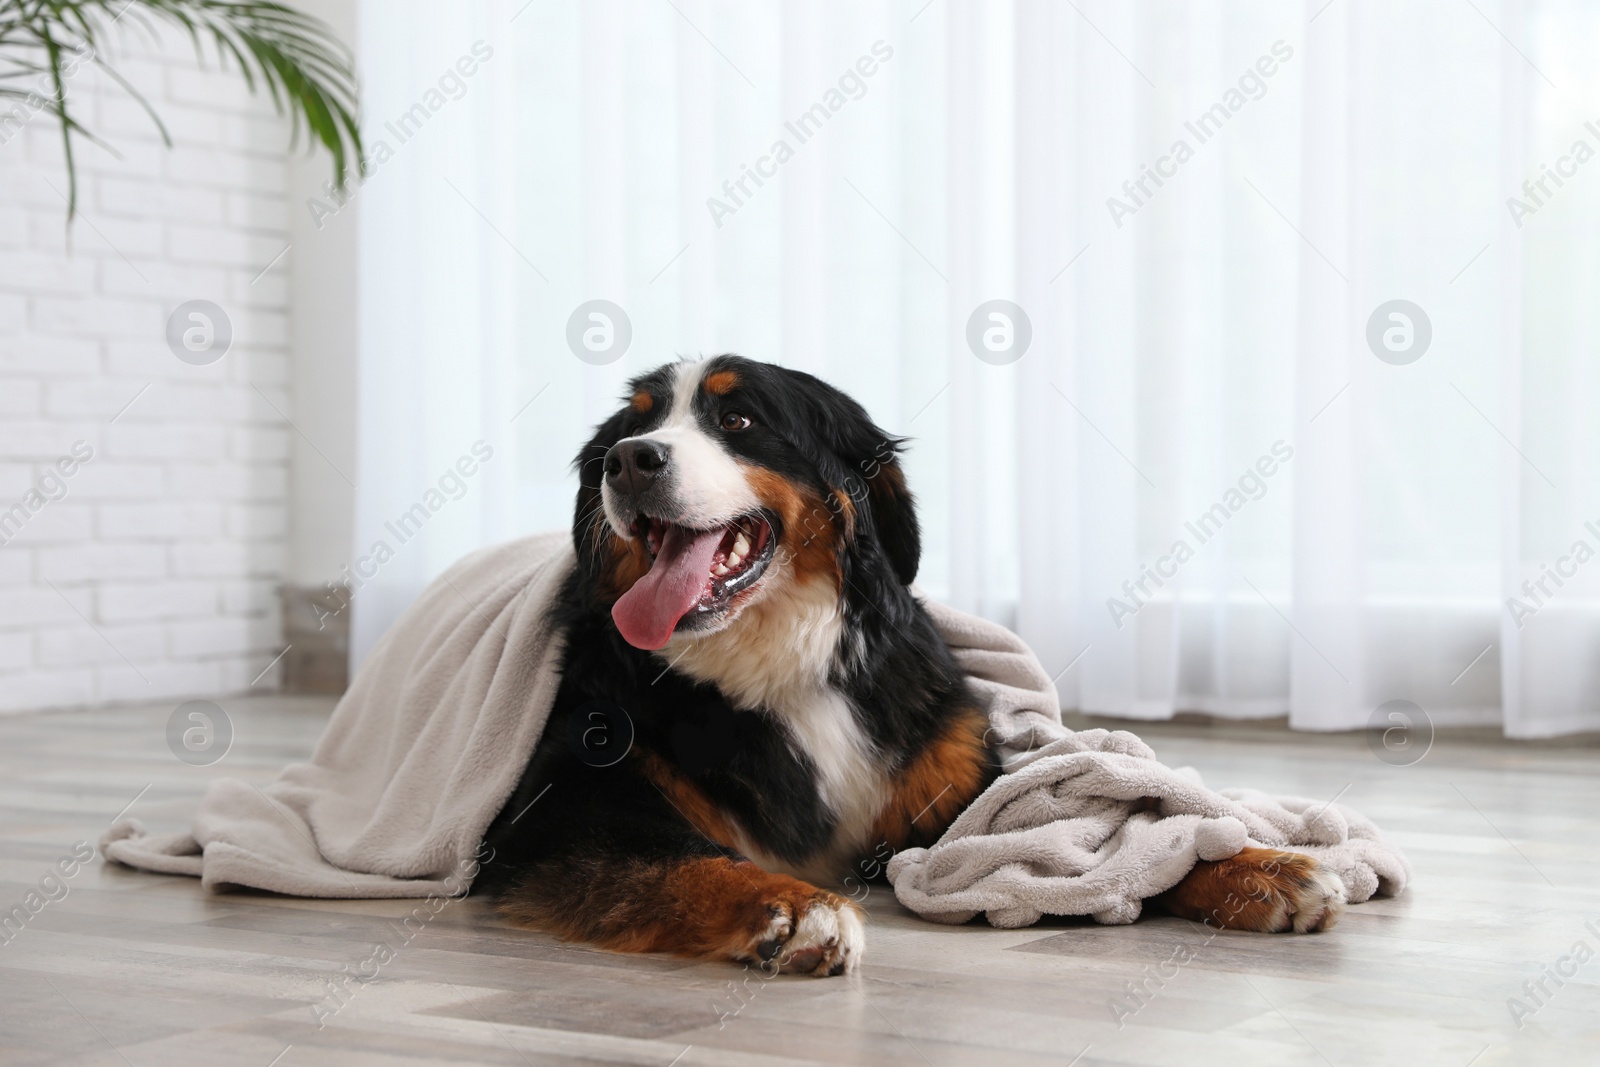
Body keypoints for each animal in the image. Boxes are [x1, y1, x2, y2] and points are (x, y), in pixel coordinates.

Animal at [476, 356, 1350, 979]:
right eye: (633, 427)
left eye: (738, 418)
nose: (629, 460)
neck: (784, 664)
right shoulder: (558, 811)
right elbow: (684, 856)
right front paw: (792, 905)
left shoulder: (956, 786)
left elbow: (1105, 840)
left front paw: (1253, 867)